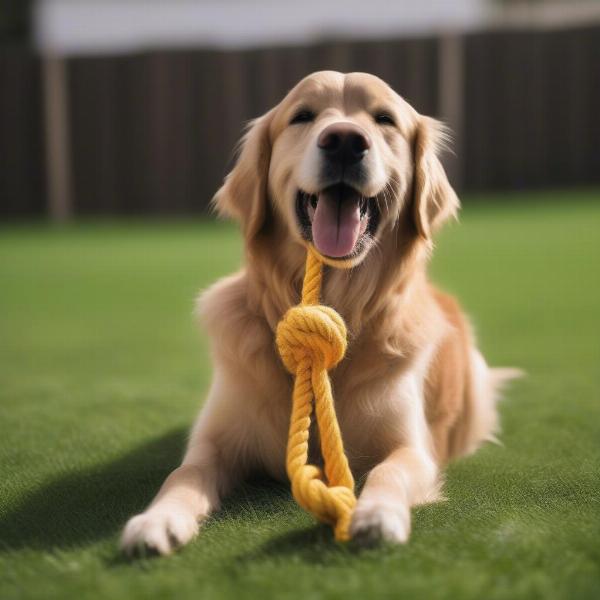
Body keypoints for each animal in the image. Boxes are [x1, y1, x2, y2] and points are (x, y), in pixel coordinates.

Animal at [122, 70, 516, 552]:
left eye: (384, 119)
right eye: (303, 116)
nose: (345, 140)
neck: (339, 302)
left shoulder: (412, 447)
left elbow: (390, 471)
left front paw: (376, 513)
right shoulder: (215, 440)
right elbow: (183, 474)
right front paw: (155, 521)